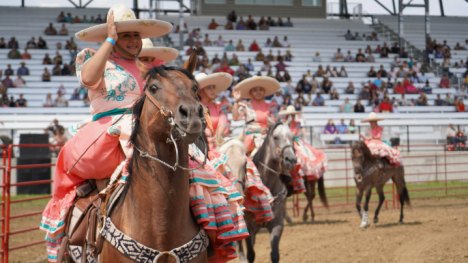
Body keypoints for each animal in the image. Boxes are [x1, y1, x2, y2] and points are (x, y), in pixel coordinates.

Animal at [230, 122, 296, 263]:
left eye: (293, 137)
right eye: (276, 137)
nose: (291, 159)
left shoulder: (277, 225)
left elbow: (275, 254)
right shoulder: (250, 227)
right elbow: (251, 254)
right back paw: (241, 256)